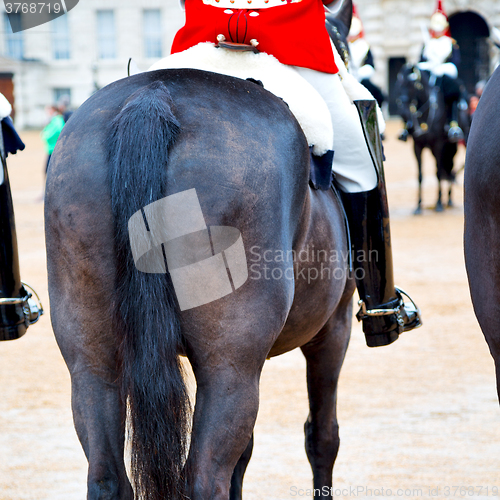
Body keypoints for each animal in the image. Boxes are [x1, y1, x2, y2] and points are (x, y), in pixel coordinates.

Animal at [45, 65, 354, 500]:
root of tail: (154, 96)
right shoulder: (332, 331)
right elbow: (322, 437)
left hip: (91, 361)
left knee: (107, 477)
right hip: (231, 368)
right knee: (205, 478)